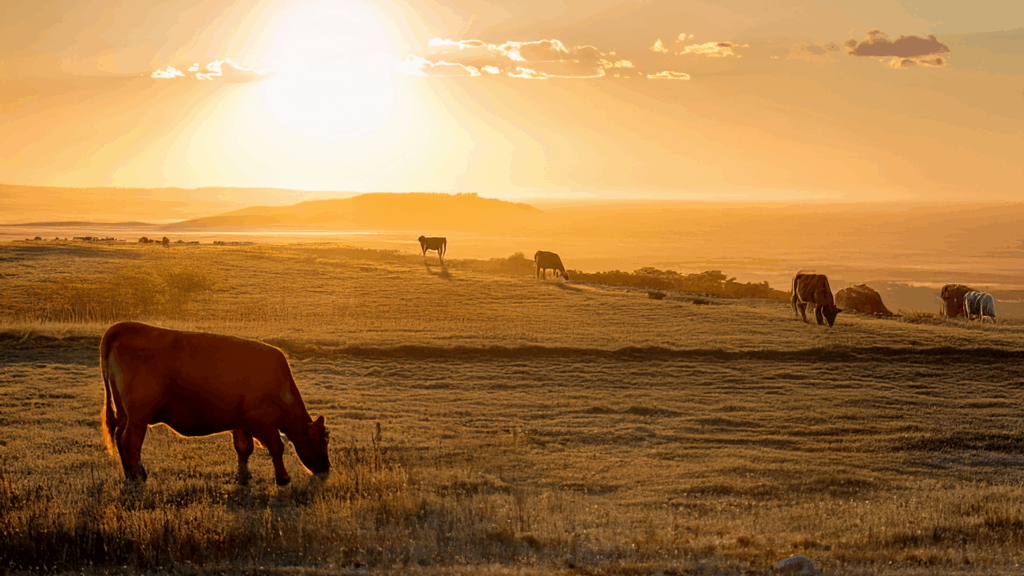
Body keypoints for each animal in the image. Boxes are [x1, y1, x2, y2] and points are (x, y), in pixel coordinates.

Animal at [100, 322, 330, 485]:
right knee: (130, 441)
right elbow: (277, 447)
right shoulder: (264, 421)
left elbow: (244, 449)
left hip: (125, 413)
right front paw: (283, 478)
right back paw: (139, 475)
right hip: (138, 416)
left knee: (119, 436)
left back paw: (129, 474)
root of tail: (124, 326)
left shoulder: (241, 422)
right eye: (324, 440)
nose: (326, 469)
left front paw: (244, 476)